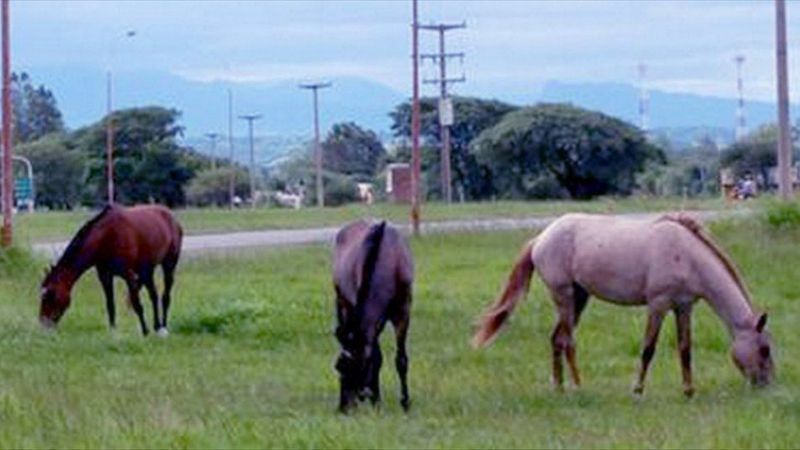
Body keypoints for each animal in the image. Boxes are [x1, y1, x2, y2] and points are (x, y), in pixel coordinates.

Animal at [39, 204, 183, 336]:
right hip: (147, 270)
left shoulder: (129, 275)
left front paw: (145, 331)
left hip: (169, 265)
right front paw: (113, 331)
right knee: (154, 295)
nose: (43, 323)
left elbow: (136, 303)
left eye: (50, 294)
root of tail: (172, 218)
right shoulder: (105, 276)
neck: (107, 237)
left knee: (165, 296)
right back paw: (157, 326)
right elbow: (110, 304)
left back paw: (163, 327)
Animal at [332, 219, 414, 412]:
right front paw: (376, 399)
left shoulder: (403, 311)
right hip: (342, 302)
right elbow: (377, 357)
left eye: (346, 367)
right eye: (338, 367)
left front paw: (405, 402)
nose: (343, 407)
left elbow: (401, 359)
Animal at [472, 213, 774, 397]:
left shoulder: (683, 307)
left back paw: (559, 388)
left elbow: (685, 349)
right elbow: (648, 349)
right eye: (764, 349)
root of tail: (541, 237)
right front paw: (637, 390)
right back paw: (579, 386)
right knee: (568, 340)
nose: (765, 384)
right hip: (564, 296)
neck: (687, 256)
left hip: (579, 297)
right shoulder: (658, 305)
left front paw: (689, 390)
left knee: (556, 339)